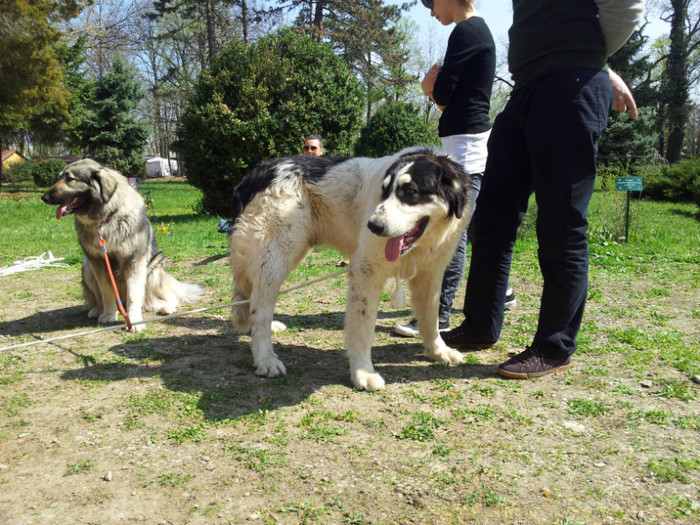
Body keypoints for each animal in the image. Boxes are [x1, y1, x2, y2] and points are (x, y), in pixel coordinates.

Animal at [230, 147, 476, 388]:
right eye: (384, 191)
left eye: (411, 191)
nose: (373, 226)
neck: (421, 243)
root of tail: (255, 174)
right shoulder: (367, 272)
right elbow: (363, 329)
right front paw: (363, 373)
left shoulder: (431, 275)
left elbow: (431, 318)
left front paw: (438, 352)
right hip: (278, 254)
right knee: (261, 305)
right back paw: (266, 358)